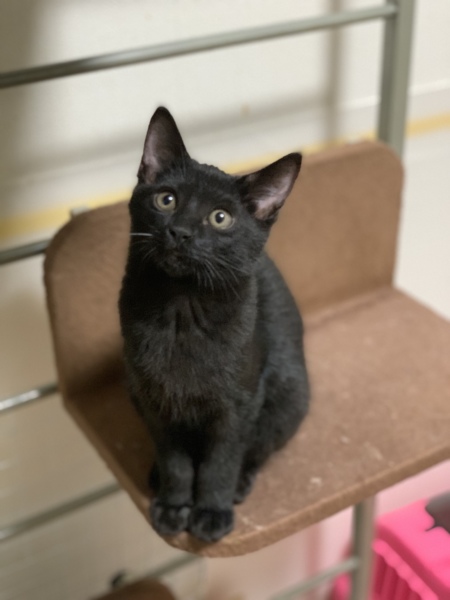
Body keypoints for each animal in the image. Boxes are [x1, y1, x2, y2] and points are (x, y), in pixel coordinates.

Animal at [119, 107, 309, 543]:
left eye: (220, 218)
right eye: (166, 199)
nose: (181, 232)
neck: (181, 310)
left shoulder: (237, 405)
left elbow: (220, 462)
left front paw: (211, 511)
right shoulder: (154, 399)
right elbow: (175, 460)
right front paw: (173, 505)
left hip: (290, 395)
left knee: (257, 449)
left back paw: (240, 484)